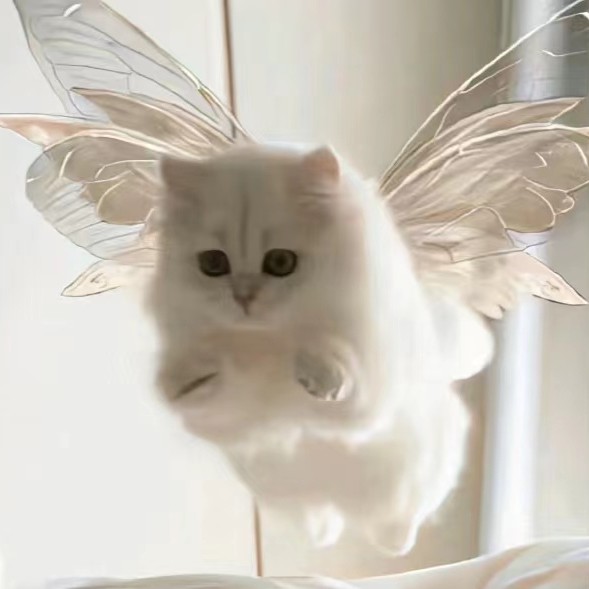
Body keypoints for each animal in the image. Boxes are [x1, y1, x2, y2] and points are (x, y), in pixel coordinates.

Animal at [146, 144, 491, 553]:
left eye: (281, 262)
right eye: (213, 264)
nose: (243, 297)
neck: (265, 339)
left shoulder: (367, 402)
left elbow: (334, 365)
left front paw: (319, 374)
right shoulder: (228, 424)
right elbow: (207, 379)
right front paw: (186, 377)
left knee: (401, 522)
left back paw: (393, 539)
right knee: (320, 516)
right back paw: (322, 532)